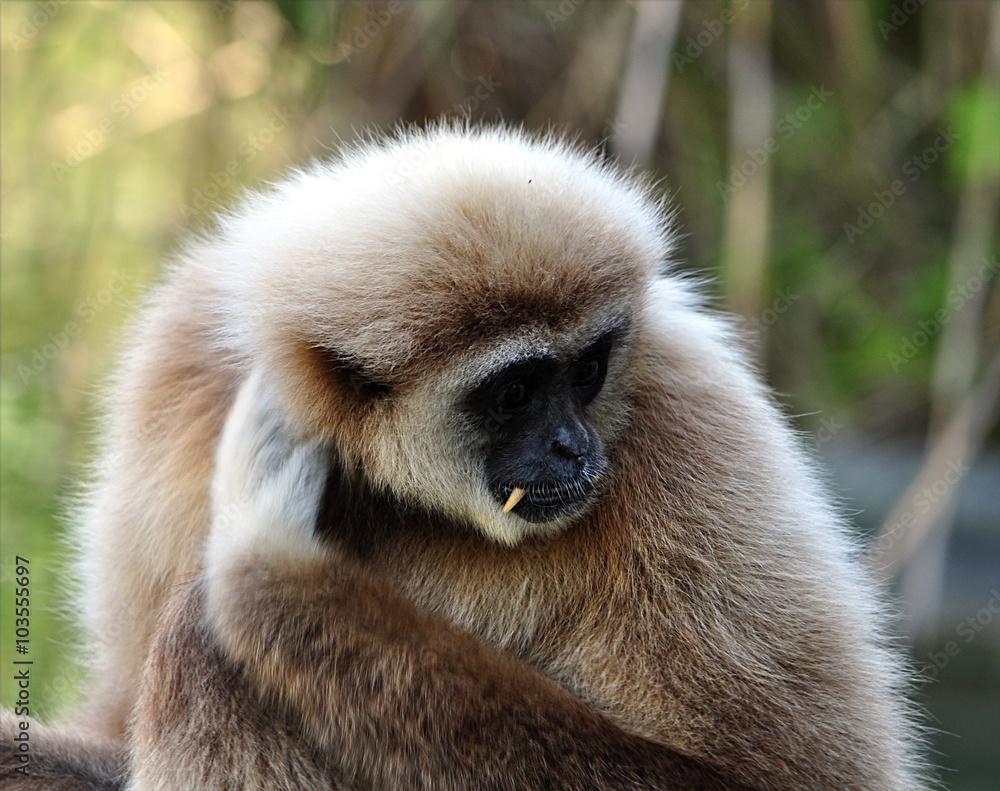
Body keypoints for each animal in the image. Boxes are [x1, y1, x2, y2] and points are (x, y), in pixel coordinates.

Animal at [1, 123, 928, 789]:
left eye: (588, 371)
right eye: (515, 390)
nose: (572, 443)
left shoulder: (692, 413)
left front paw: (272, 572)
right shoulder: (179, 377)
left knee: (203, 641)